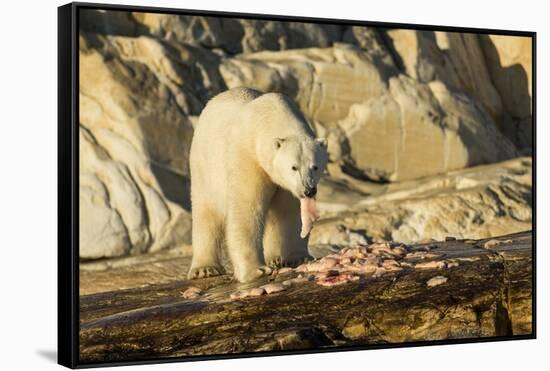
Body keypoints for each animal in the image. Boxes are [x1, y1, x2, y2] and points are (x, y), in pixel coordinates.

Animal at [188, 87, 330, 284]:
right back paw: (205, 268)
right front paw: (256, 270)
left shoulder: (284, 183)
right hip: (205, 167)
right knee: (206, 212)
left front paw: (298, 257)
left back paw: (275, 258)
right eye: (293, 167)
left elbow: (288, 211)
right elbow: (247, 208)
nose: (308, 190)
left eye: (315, 166)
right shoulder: (248, 158)